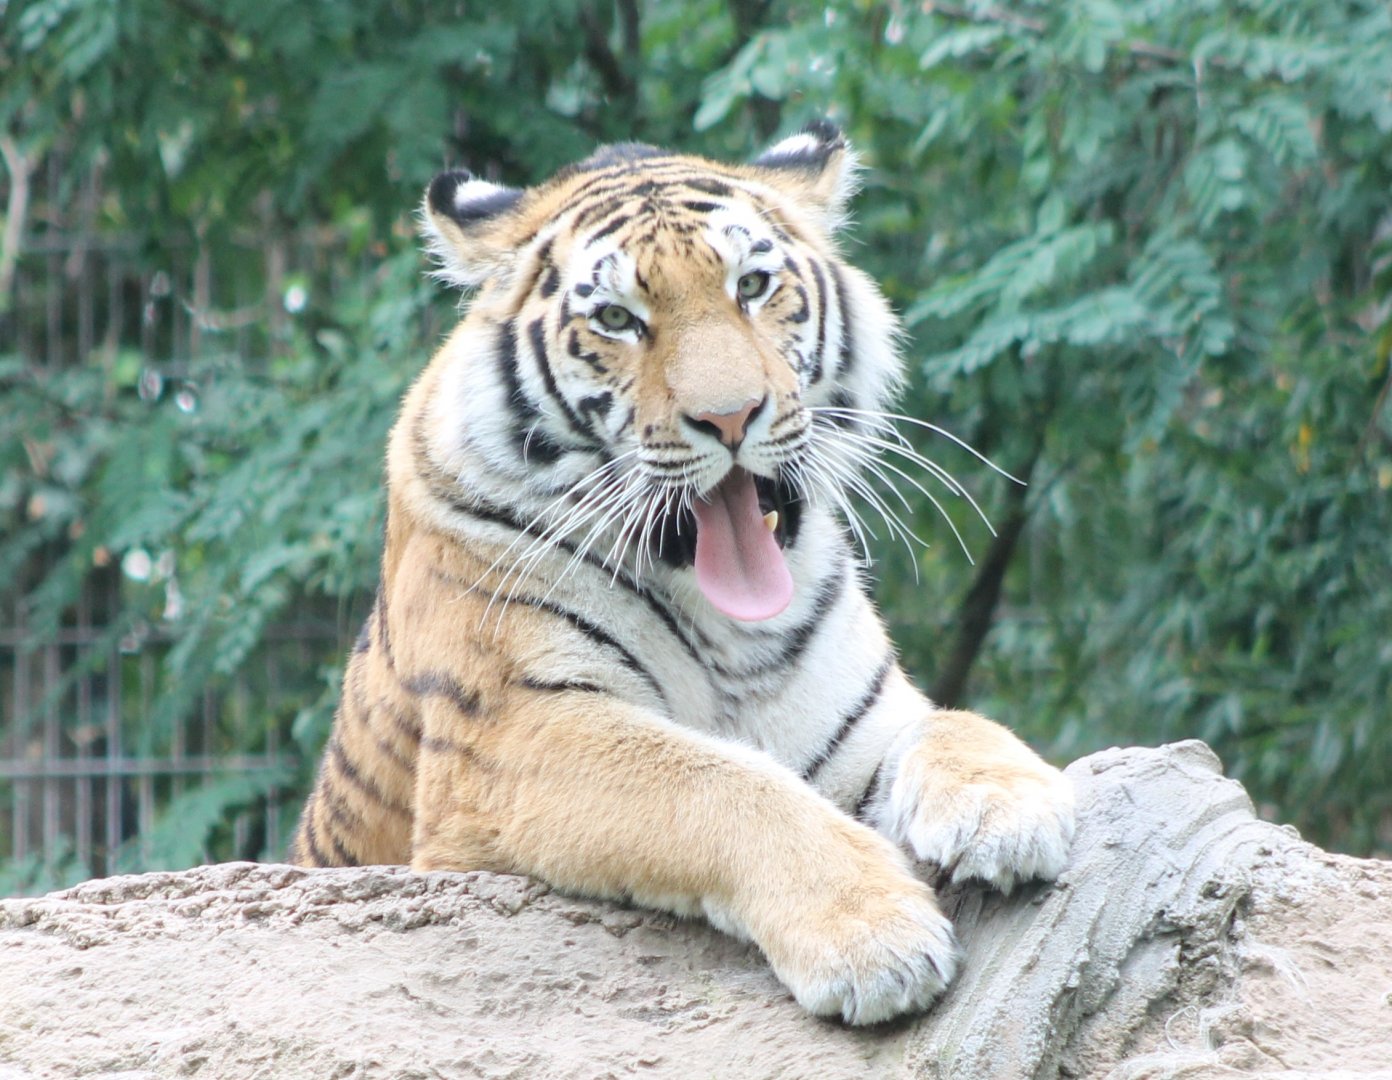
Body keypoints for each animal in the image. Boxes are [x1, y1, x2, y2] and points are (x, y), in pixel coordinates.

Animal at [288, 121, 1076, 1026]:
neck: (731, 631)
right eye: (617, 319)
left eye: (754, 285)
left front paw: (1015, 806)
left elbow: (952, 723)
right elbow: (718, 782)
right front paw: (875, 937)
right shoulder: (512, 735)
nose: (731, 418)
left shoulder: (861, 720)